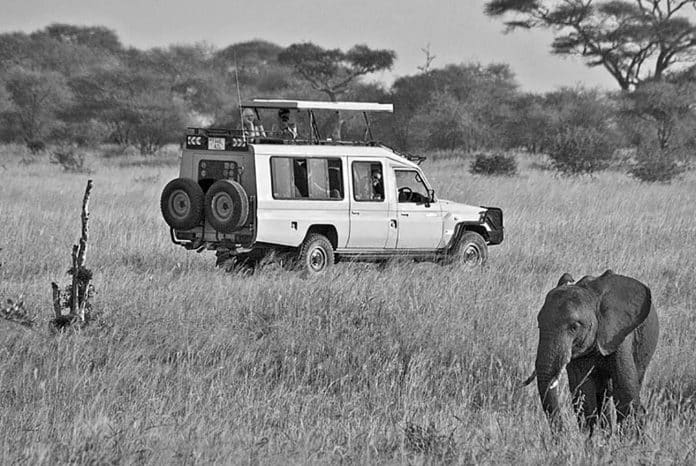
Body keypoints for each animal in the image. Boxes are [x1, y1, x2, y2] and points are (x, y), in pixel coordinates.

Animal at [528, 270, 656, 434]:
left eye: (574, 327)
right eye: (539, 325)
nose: (562, 433)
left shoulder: (621, 335)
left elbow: (625, 392)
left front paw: (630, 439)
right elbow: (584, 394)